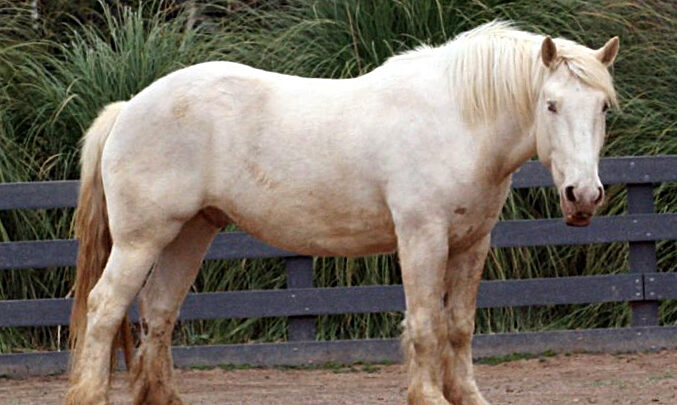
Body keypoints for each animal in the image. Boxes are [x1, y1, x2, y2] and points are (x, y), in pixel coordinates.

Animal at [67, 21, 616, 404]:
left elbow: (459, 326)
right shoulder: (422, 237)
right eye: (550, 105)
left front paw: (466, 394)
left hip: (190, 233)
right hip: (141, 240)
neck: (457, 119)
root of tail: (129, 107)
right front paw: (428, 395)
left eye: (603, 107)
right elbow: (426, 323)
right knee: (105, 307)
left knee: (159, 312)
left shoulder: (471, 242)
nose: (583, 196)